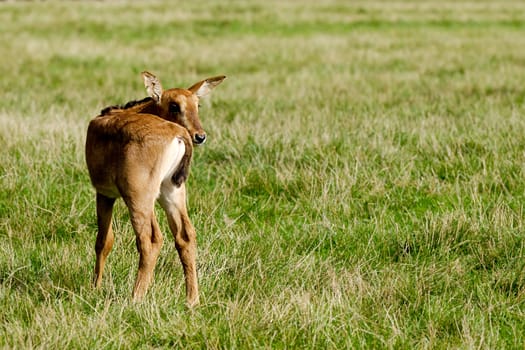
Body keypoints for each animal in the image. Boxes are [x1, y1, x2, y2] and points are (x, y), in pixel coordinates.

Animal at [85, 72, 224, 306]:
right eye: (175, 105)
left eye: (197, 105)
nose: (200, 136)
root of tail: (179, 135)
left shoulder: (104, 193)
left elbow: (103, 241)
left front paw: (95, 288)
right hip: (172, 192)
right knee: (186, 235)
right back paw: (192, 300)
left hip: (140, 197)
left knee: (150, 240)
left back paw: (135, 298)